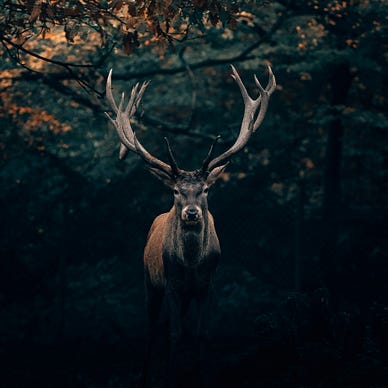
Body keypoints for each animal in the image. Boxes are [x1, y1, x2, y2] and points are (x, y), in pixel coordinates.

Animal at [105, 65, 276, 386]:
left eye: (205, 189)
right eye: (175, 191)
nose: (192, 213)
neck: (193, 263)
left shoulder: (206, 285)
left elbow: (199, 333)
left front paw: (201, 374)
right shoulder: (172, 282)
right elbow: (175, 334)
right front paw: (171, 376)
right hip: (149, 280)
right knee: (152, 328)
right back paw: (145, 376)